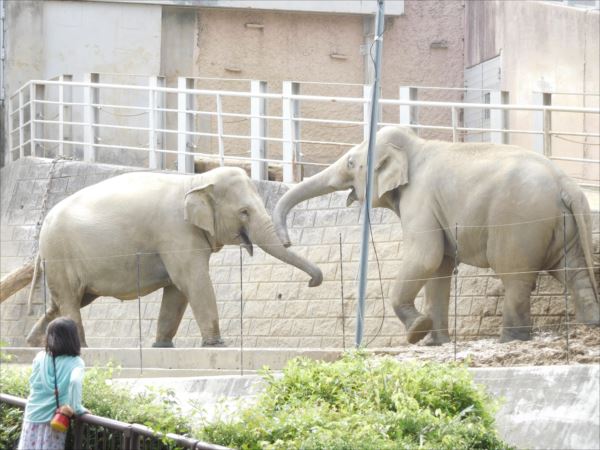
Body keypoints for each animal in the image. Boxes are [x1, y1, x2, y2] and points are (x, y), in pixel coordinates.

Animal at [5, 167, 324, 346]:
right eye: (244, 212)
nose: (313, 282)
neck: (196, 181)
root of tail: (44, 226)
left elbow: (176, 292)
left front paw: (161, 346)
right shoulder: (175, 232)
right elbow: (193, 282)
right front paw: (217, 344)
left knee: (66, 300)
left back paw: (33, 342)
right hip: (60, 252)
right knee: (70, 300)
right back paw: (80, 347)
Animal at [274, 125, 596, 344]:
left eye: (351, 163)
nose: (288, 240)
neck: (415, 146)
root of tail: (567, 184)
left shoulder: (420, 199)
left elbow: (425, 257)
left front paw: (417, 332)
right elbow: (440, 266)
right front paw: (435, 342)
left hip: (519, 222)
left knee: (514, 276)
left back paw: (510, 340)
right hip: (562, 225)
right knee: (572, 272)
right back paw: (590, 325)